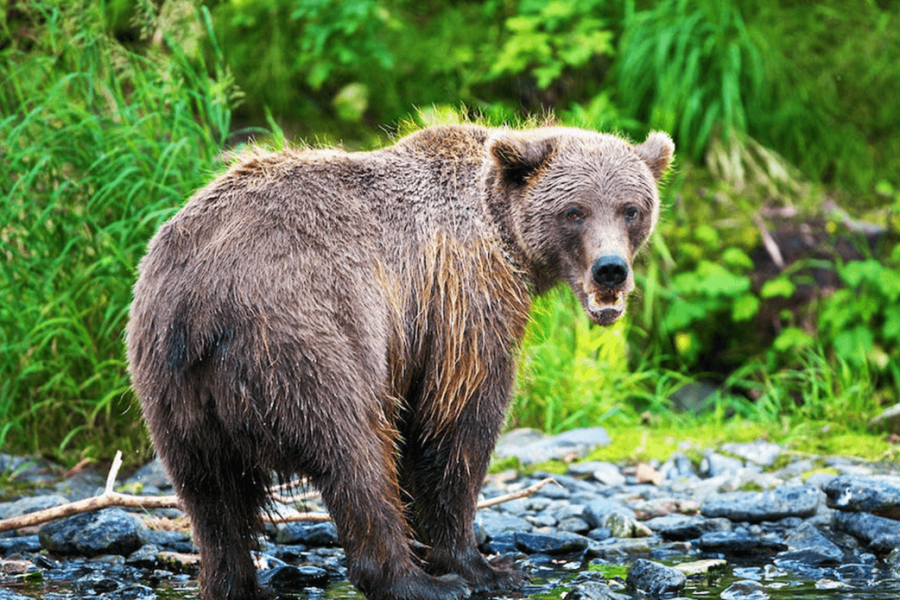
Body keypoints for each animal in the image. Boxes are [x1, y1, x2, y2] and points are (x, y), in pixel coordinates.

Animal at [126, 123, 673, 600]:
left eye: (631, 208)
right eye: (574, 212)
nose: (610, 270)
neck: (506, 239)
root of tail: (201, 302)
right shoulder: (460, 298)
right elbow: (456, 424)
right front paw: (483, 567)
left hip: (172, 388)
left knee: (212, 499)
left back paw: (231, 581)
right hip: (307, 339)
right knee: (357, 456)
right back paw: (417, 581)